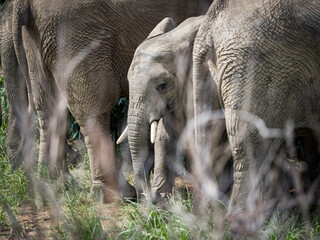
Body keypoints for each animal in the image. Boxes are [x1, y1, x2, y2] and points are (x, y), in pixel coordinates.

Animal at [11, 0, 212, 202]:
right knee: (95, 105)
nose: (149, 196)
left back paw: (54, 186)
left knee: (49, 105)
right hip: (75, 27)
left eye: (162, 85)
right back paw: (116, 193)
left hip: (38, 35)